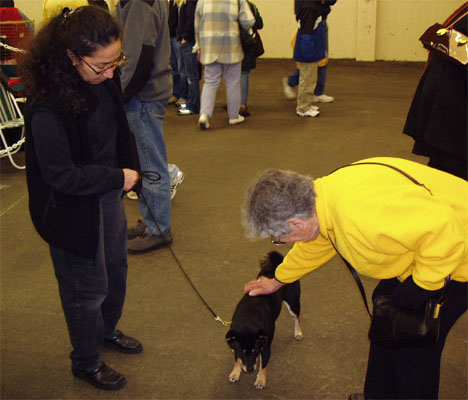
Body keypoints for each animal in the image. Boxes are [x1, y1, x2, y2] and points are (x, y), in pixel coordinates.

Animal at [225, 251, 303, 389]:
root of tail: (277, 264)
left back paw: (298, 332)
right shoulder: (234, 343)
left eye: (255, 350)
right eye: (242, 351)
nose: (250, 369)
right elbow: (236, 359)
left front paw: (261, 380)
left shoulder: (265, 347)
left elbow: (264, 364)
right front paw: (235, 372)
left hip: (293, 302)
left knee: (296, 317)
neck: (248, 318)